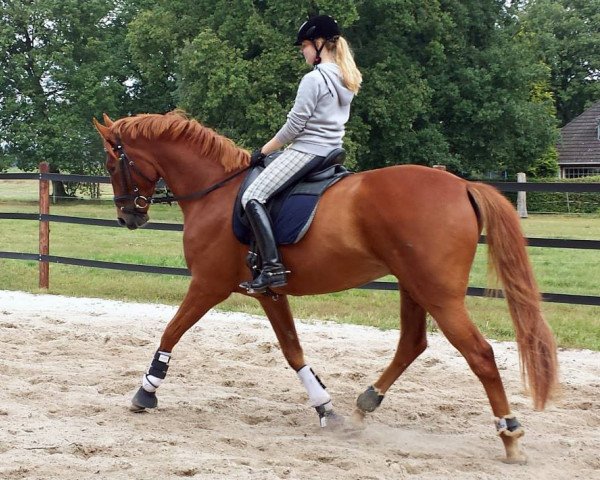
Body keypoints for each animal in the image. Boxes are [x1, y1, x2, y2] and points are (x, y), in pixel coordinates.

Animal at [92, 110, 556, 464]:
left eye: (112, 165)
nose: (128, 217)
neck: (216, 192)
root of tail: (461, 184)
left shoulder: (208, 284)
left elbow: (172, 330)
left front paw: (146, 391)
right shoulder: (268, 292)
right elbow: (293, 351)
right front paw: (326, 411)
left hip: (438, 294)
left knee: (479, 354)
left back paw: (510, 435)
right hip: (414, 286)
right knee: (412, 344)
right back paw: (364, 406)